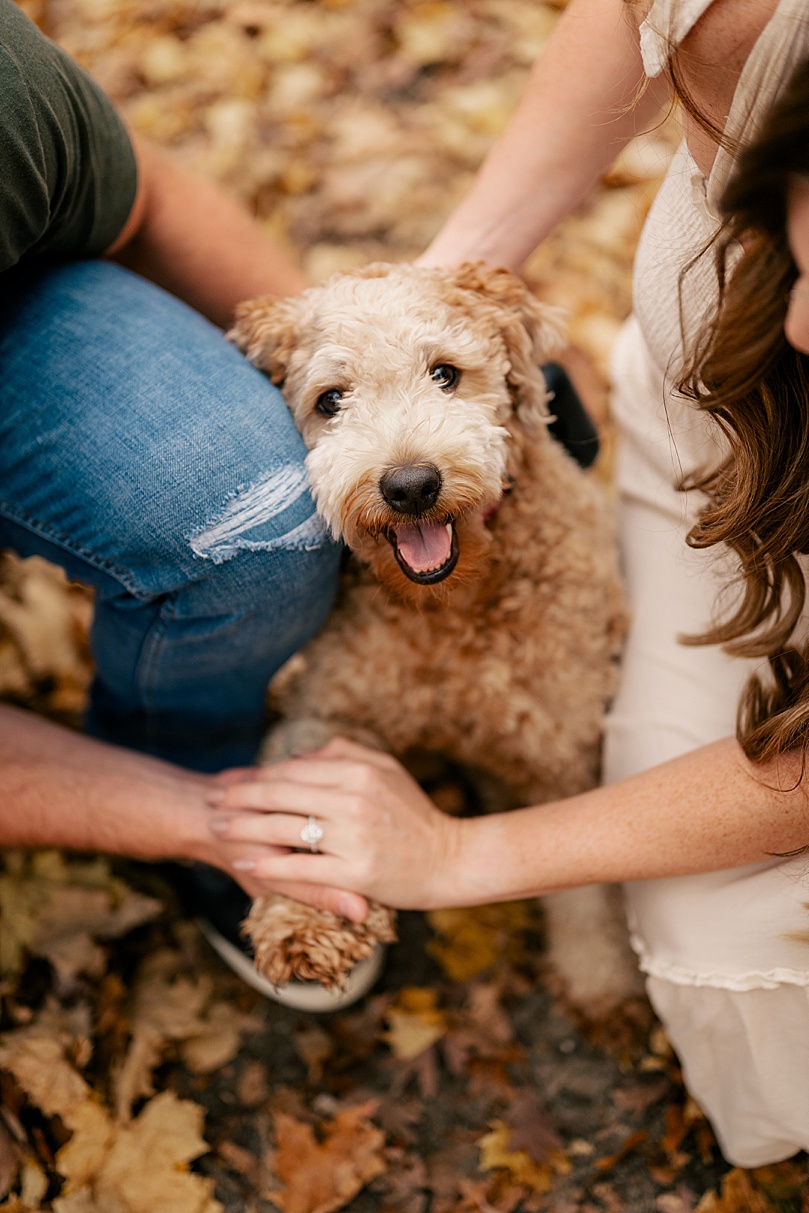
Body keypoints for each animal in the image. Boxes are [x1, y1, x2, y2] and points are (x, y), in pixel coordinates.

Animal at [228, 263, 640, 1014]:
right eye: (331, 400)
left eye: (445, 373)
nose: (411, 485)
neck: (447, 611)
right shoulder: (330, 708)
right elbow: (307, 805)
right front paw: (305, 924)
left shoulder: (563, 746)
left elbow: (587, 881)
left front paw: (602, 980)